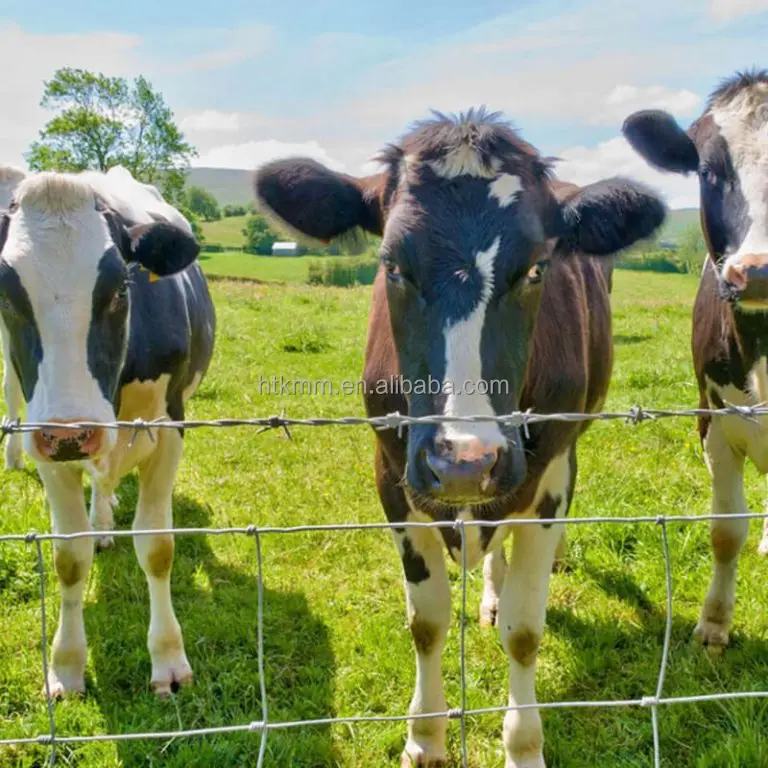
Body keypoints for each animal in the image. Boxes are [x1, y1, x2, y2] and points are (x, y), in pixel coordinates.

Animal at [0, 165, 215, 697]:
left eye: (120, 289)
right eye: (6, 296)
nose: (72, 433)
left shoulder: (169, 428)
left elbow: (157, 548)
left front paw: (168, 660)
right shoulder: (45, 442)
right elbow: (69, 557)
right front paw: (66, 666)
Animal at [253, 108, 666, 767]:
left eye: (537, 267)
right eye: (392, 265)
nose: (464, 462)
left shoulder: (547, 479)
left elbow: (525, 629)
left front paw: (523, 746)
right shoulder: (392, 472)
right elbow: (427, 621)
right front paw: (425, 736)